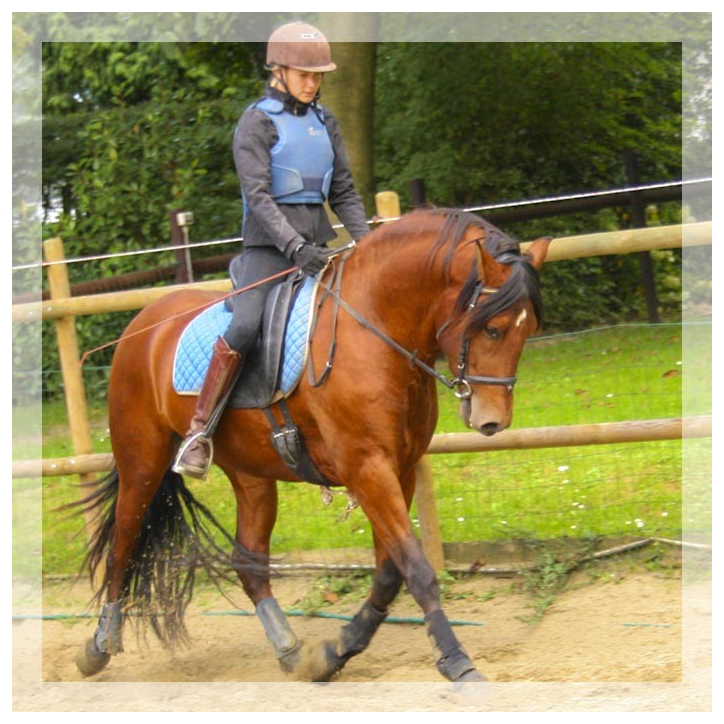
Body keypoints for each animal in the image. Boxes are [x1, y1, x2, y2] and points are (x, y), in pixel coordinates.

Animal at [74, 208, 550, 683]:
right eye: (493, 330)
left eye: (529, 329)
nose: (493, 420)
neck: (375, 327)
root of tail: (142, 323)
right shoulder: (368, 469)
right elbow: (416, 570)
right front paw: (457, 661)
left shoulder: (400, 469)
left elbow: (389, 573)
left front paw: (336, 651)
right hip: (142, 462)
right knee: (122, 546)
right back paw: (99, 645)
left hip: (250, 475)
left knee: (248, 563)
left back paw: (290, 651)